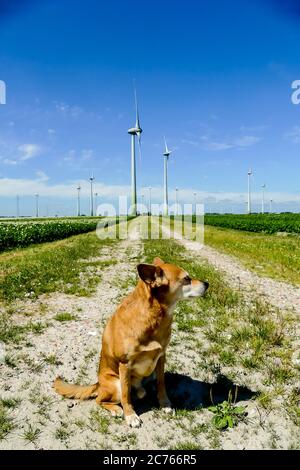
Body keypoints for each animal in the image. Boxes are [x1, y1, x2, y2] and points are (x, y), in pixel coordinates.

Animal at [54, 258, 209, 426]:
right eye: (186, 278)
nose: (207, 283)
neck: (154, 318)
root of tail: (98, 384)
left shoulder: (161, 356)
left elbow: (161, 384)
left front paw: (165, 403)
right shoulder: (125, 364)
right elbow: (126, 395)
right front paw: (130, 415)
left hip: (149, 374)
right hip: (115, 384)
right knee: (100, 399)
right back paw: (116, 409)